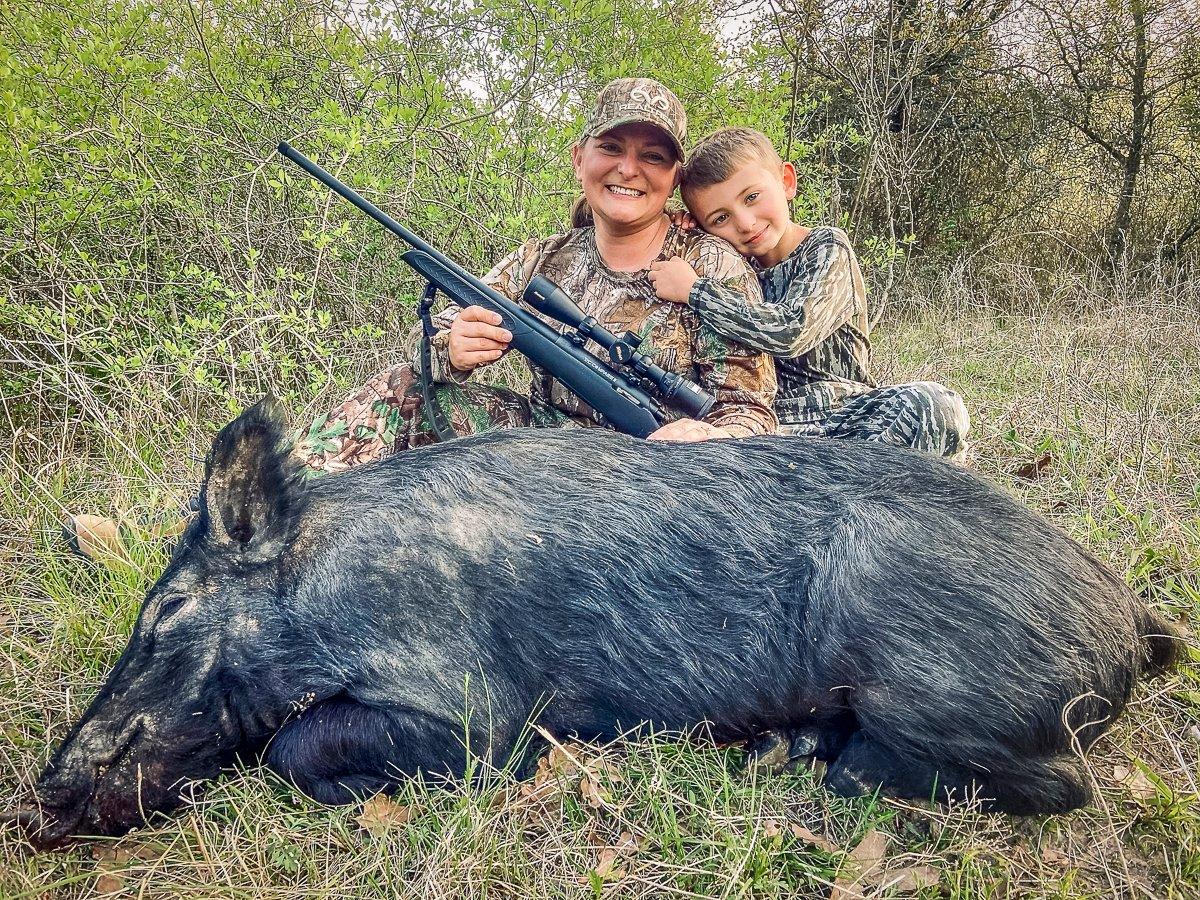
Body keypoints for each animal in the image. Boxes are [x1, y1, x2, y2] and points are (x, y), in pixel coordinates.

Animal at [11, 403, 1180, 854]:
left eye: (164, 612)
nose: (40, 798)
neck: (336, 586)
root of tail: (1130, 616)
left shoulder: (477, 708)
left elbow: (296, 745)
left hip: (945, 681)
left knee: (1059, 785)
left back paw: (804, 762)